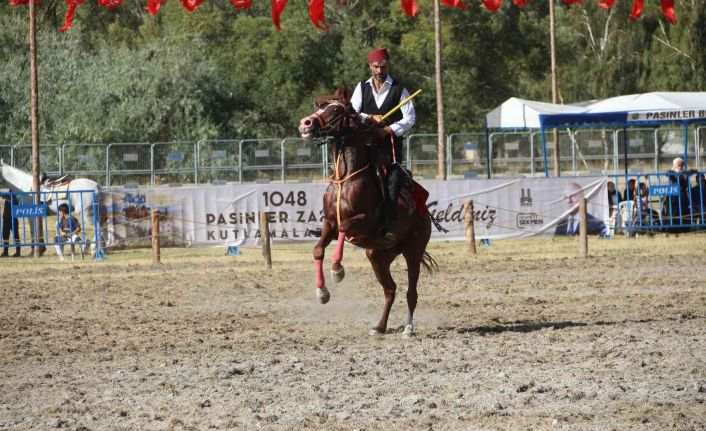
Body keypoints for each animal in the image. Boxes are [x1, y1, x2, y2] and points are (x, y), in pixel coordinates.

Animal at [296, 88, 438, 338]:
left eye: (336, 109)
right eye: (319, 105)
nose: (306, 123)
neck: (345, 178)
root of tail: (424, 214)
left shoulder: (364, 221)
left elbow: (345, 227)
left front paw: (337, 270)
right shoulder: (329, 224)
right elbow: (318, 249)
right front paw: (322, 293)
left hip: (413, 250)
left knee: (411, 292)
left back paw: (408, 328)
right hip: (378, 255)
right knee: (390, 289)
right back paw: (379, 326)